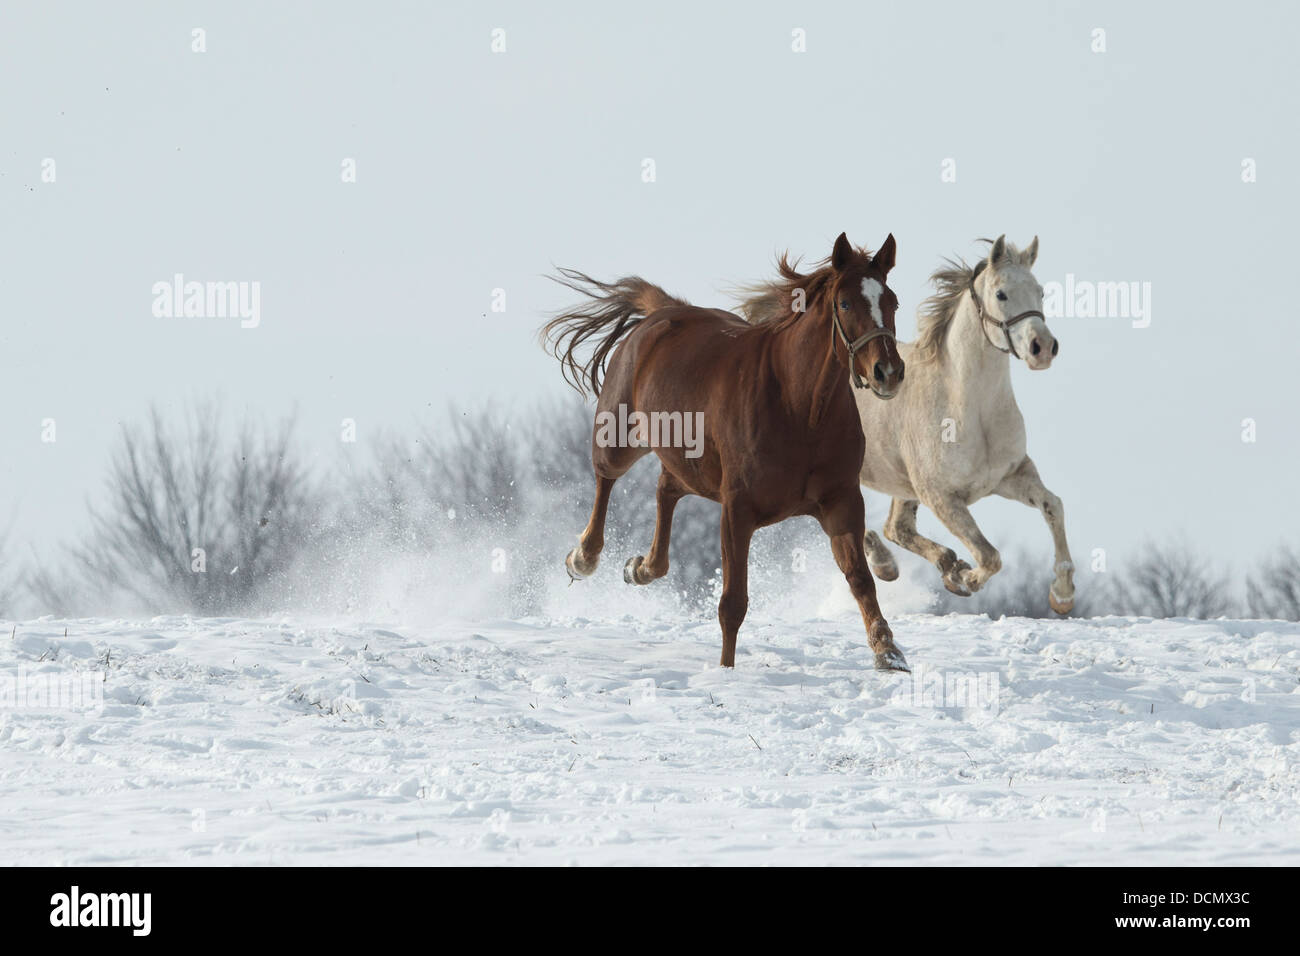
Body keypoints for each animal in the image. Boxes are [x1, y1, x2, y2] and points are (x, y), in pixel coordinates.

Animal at [543, 234, 909, 671]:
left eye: (892, 302)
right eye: (846, 303)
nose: (889, 372)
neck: (798, 406)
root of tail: (662, 312)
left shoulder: (841, 500)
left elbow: (860, 577)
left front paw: (888, 651)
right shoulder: (737, 508)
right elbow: (733, 602)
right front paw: (726, 670)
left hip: (690, 464)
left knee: (666, 489)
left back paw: (641, 568)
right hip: (619, 437)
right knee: (606, 477)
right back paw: (582, 558)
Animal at [738, 235, 1071, 613]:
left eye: (1040, 291)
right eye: (1001, 294)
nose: (1042, 347)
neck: (970, 407)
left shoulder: (1011, 475)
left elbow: (1053, 506)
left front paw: (1062, 595)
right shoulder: (940, 495)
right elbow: (989, 556)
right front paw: (964, 578)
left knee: (895, 528)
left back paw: (897, 563)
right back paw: (893, 562)